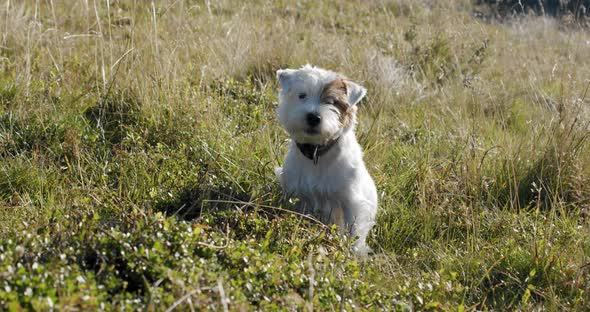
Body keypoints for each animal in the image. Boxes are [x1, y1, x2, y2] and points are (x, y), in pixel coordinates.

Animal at [276, 65, 380, 254]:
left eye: (332, 102)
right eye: (302, 95)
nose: (313, 117)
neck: (316, 152)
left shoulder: (351, 201)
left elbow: (353, 231)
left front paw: (351, 252)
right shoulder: (298, 195)